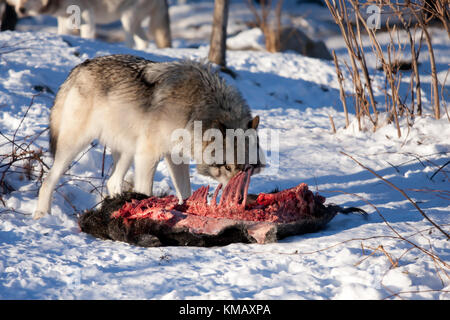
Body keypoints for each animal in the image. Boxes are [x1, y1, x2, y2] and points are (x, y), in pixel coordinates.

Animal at [6, 0, 171, 48]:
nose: (20, 10)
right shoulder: (64, 17)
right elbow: (62, 33)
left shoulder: (85, 13)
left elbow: (87, 35)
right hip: (136, 23)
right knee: (145, 40)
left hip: (127, 18)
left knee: (130, 41)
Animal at [34, 55, 264, 220]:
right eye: (227, 167)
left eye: (247, 170)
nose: (239, 200)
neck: (197, 109)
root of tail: (78, 69)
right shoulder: (148, 155)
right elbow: (146, 191)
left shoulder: (175, 157)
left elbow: (185, 192)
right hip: (75, 146)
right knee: (48, 180)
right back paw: (42, 215)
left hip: (127, 151)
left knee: (112, 182)